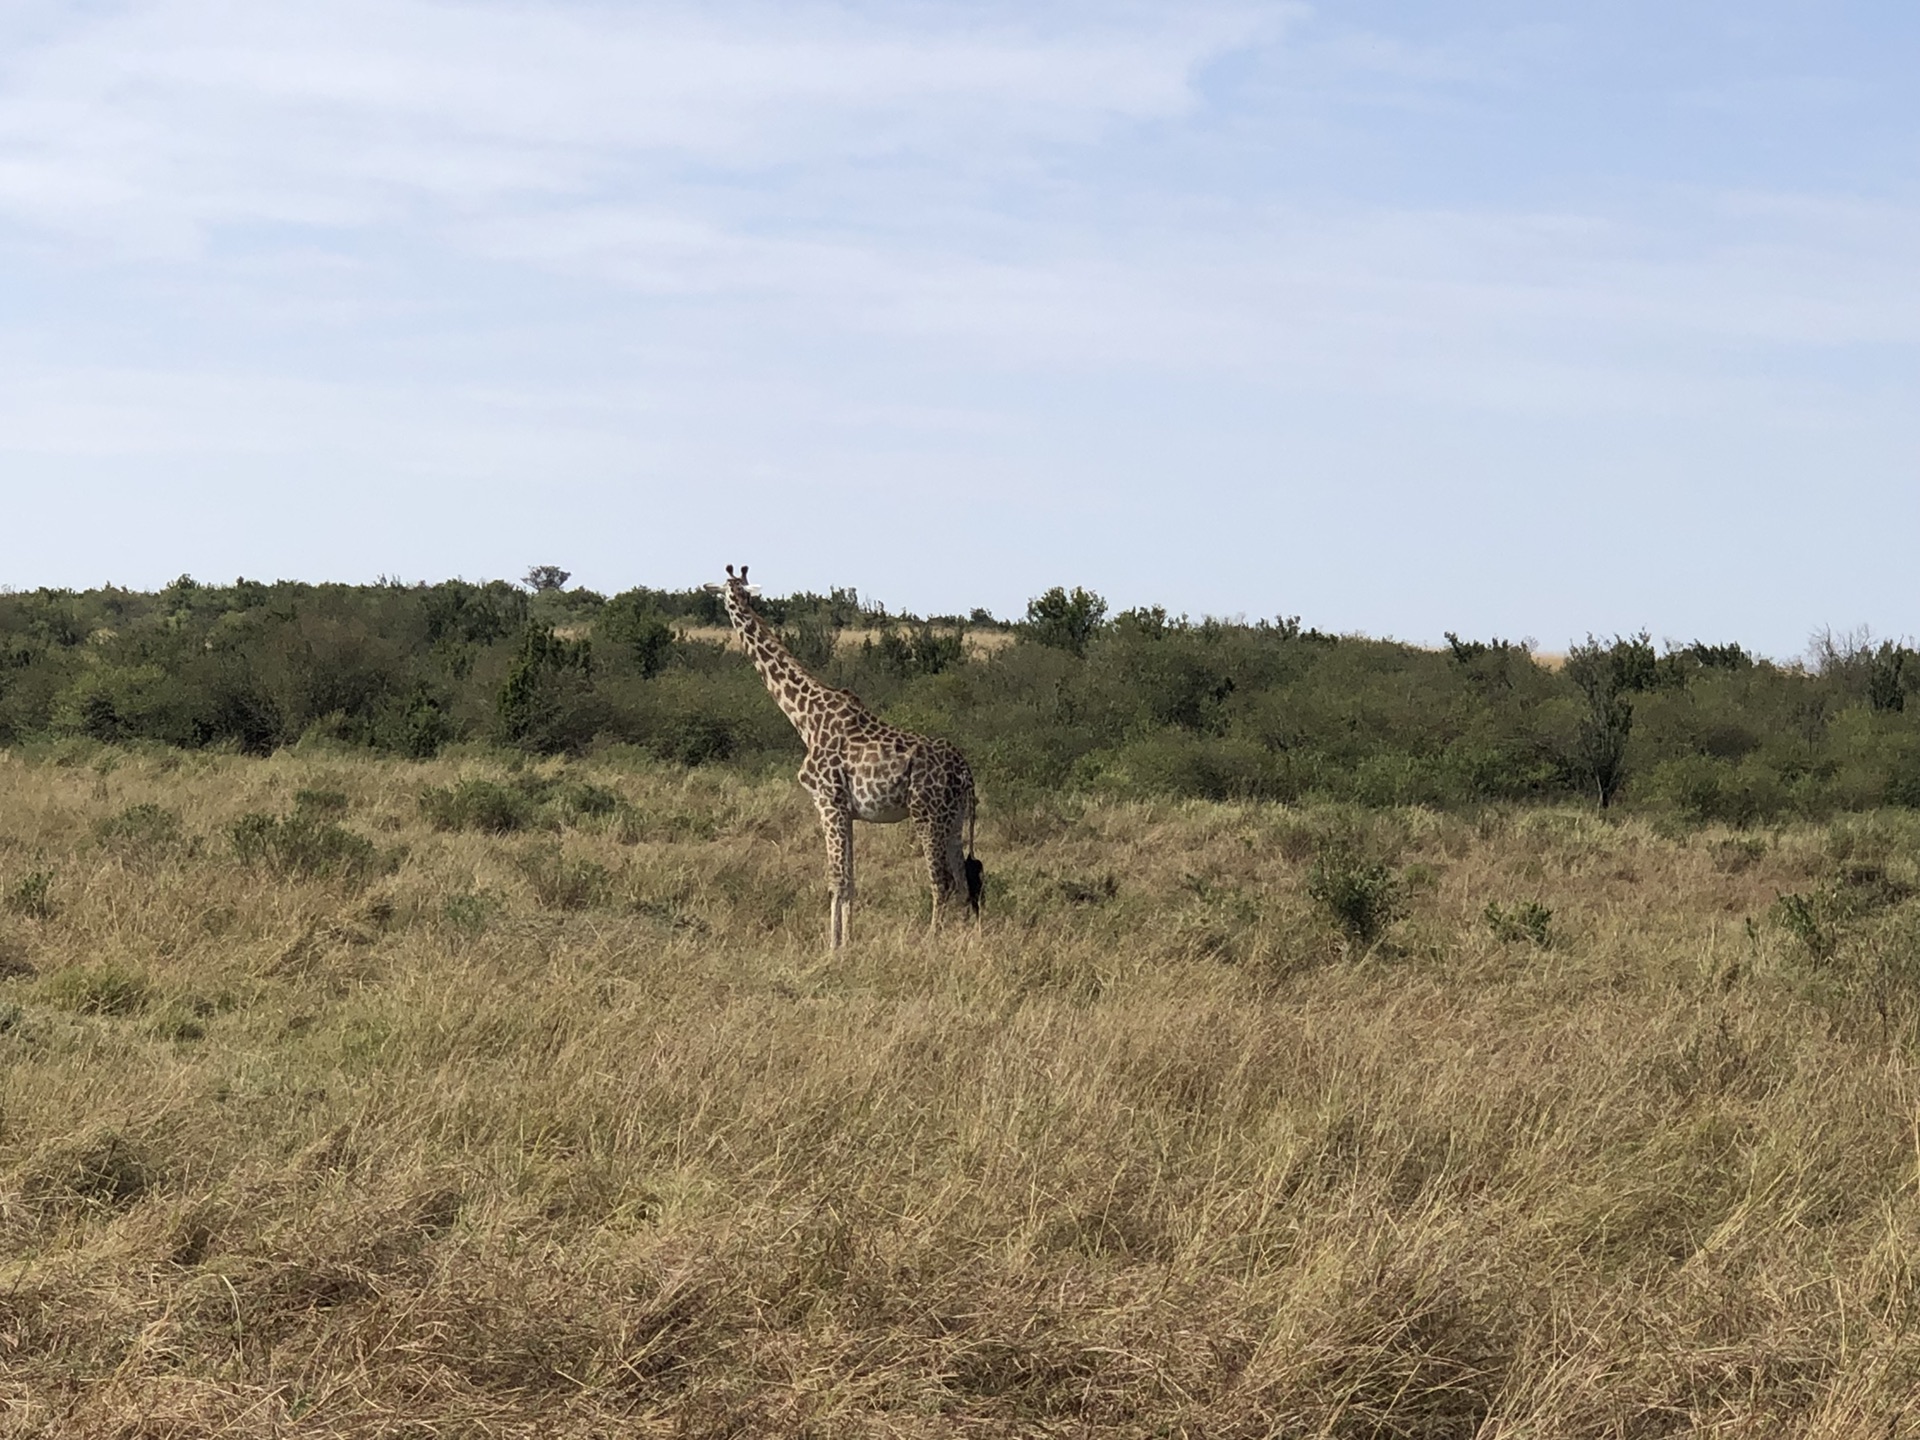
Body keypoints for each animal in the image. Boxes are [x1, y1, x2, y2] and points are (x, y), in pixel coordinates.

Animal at [721, 568, 990, 960]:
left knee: (942, 881)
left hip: (927, 814)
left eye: (725, 588)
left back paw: (931, 943)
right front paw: (847, 941)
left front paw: (831, 947)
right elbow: (850, 879)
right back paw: (967, 942)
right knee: (964, 880)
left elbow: (835, 879)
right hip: (953, 818)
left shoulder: (828, 802)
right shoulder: (847, 811)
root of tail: (966, 771)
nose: (726, 598)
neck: (805, 717)